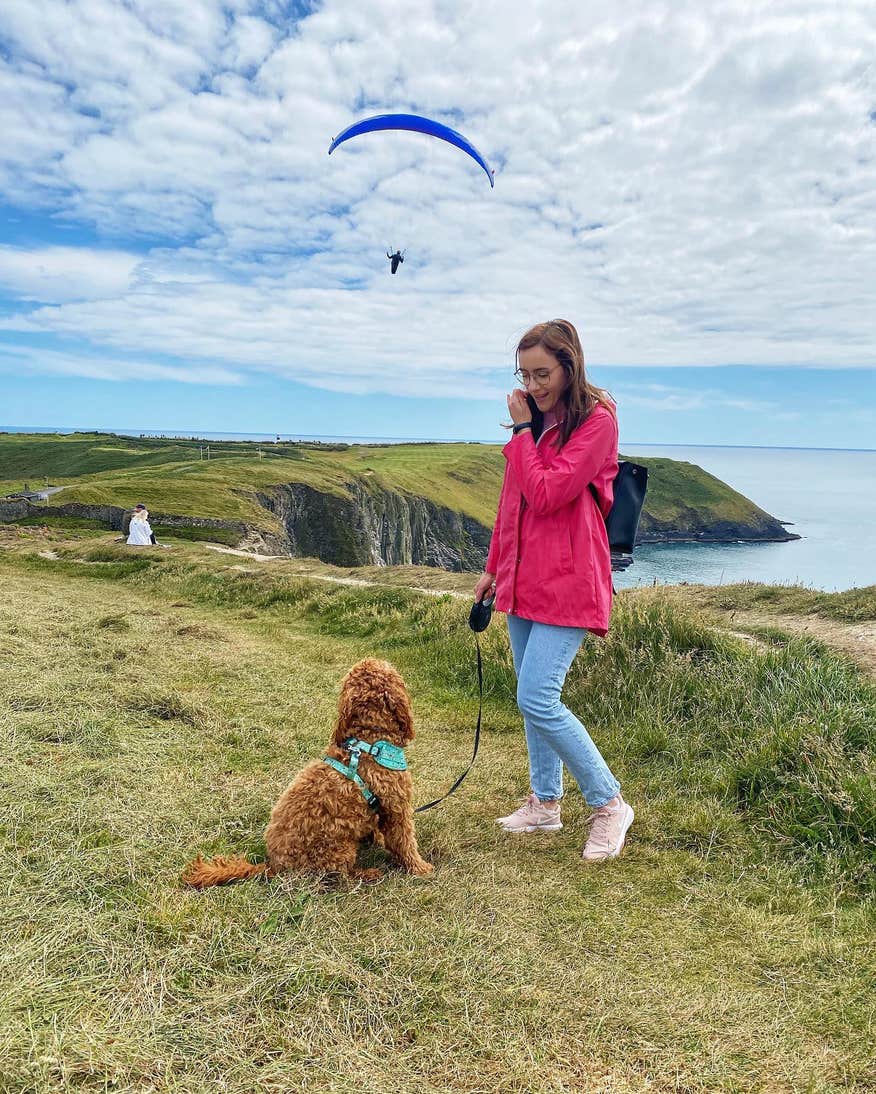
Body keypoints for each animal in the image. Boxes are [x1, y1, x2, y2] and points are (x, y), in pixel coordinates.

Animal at [181, 656, 433, 888]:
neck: (369, 739)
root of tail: (273, 866)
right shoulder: (397, 809)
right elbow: (404, 842)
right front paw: (421, 868)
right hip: (339, 849)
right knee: (339, 877)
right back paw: (368, 874)